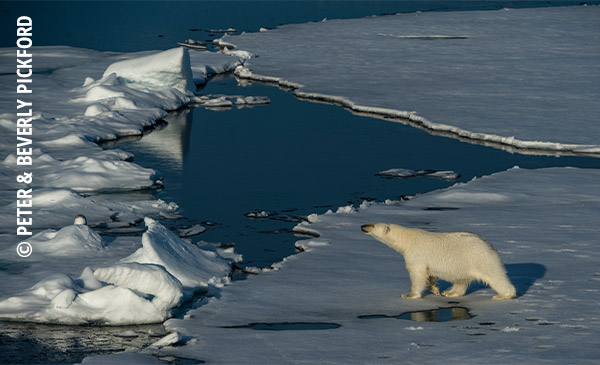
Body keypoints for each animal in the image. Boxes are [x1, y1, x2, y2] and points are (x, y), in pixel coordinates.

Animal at [360, 222, 516, 298]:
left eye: (373, 225)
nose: (362, 226)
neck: (407, 240)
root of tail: (490, 246)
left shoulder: (416, 255)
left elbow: (417, 274)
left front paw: (408, 295)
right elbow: (429, 275)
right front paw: (435, 289)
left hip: (481, 259)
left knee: (495, 277)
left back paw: (503, 295)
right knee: (461, 280)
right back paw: (450, 293)